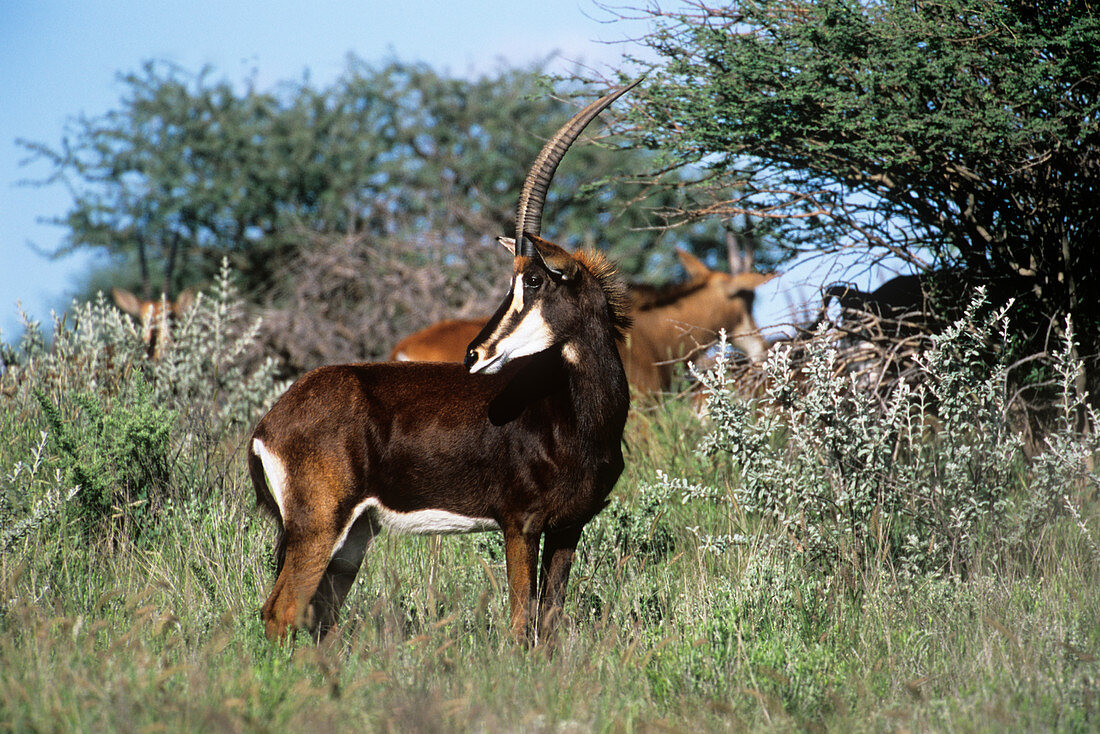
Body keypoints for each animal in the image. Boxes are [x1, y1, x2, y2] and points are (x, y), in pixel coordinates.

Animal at [247, 80, 638, 642]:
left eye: (534, 279)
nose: (475, 353)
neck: (574, 414)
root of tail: (267, 426)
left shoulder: (569, 527)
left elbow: (549, 623)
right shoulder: (520, 524)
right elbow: (521, 623)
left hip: (354, 535)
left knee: (319, 614)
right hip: (318, 526)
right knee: (281, 611)